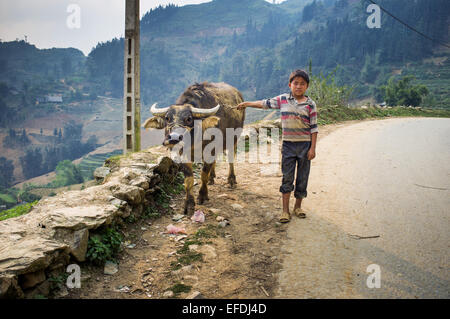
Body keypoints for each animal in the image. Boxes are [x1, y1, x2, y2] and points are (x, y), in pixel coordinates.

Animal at [142, 82, 244, 215]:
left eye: (189, 119)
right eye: (167, 118)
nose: (174, 138)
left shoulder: (209, 151)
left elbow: (203, 174)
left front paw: (202, 195)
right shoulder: (184, 156)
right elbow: (188, 180)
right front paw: (189, 204)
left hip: (234, 139)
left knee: (231, 158)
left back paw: (231, 180)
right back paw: (212, 177)